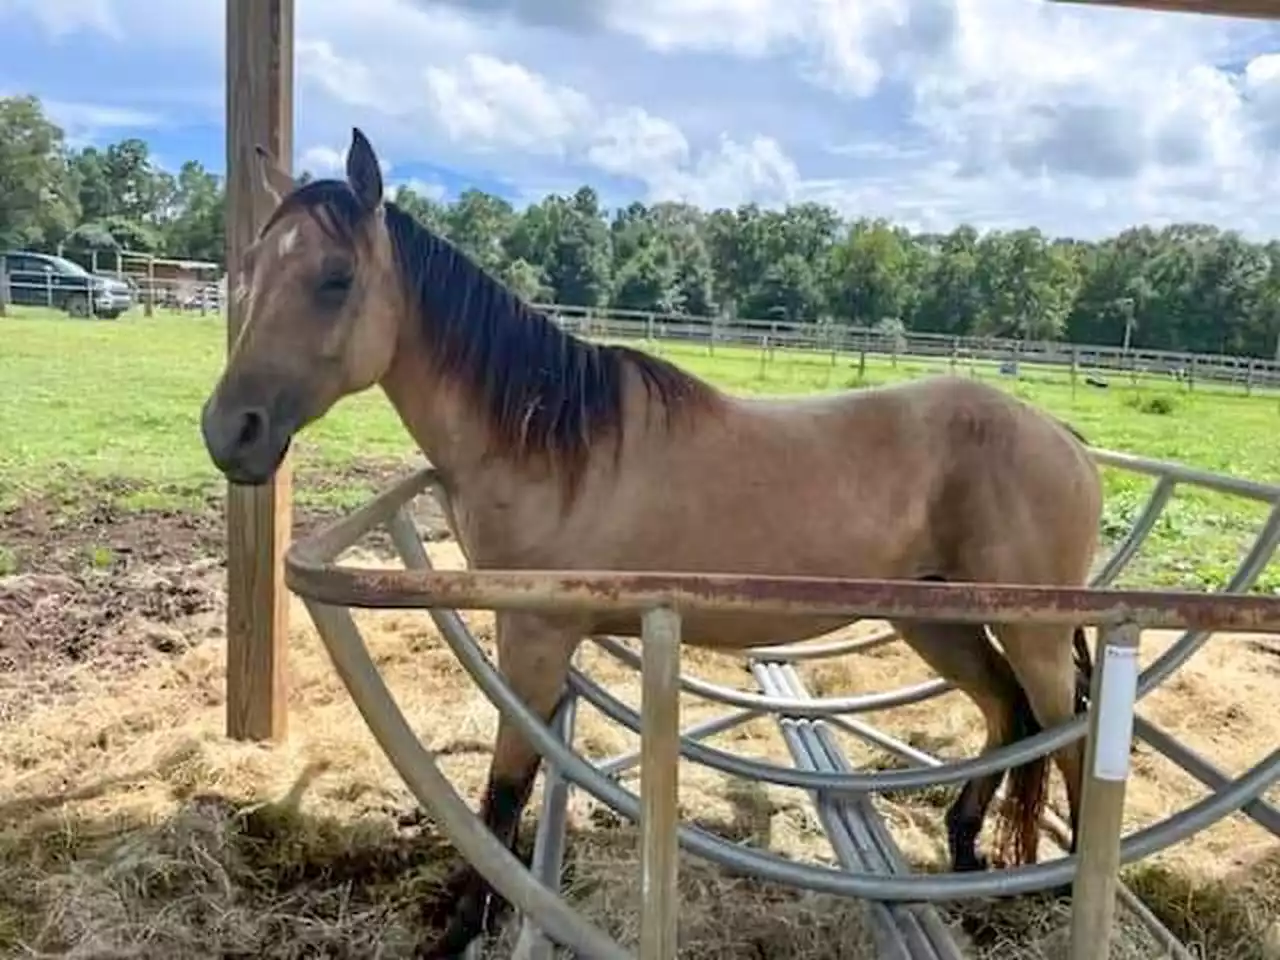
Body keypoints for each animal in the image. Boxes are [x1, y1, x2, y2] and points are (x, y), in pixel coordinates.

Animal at [199, 129, 1100, 960]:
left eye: (335, 278)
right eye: (249, 271)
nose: (229, 431)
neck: (550, 444)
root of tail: (1063, 437)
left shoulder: (536, 635)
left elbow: (502, 790)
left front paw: (462, 926)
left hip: (1032, 633)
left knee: (1072, 741)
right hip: (939, 619)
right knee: (1007, 712)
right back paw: (964, 850)